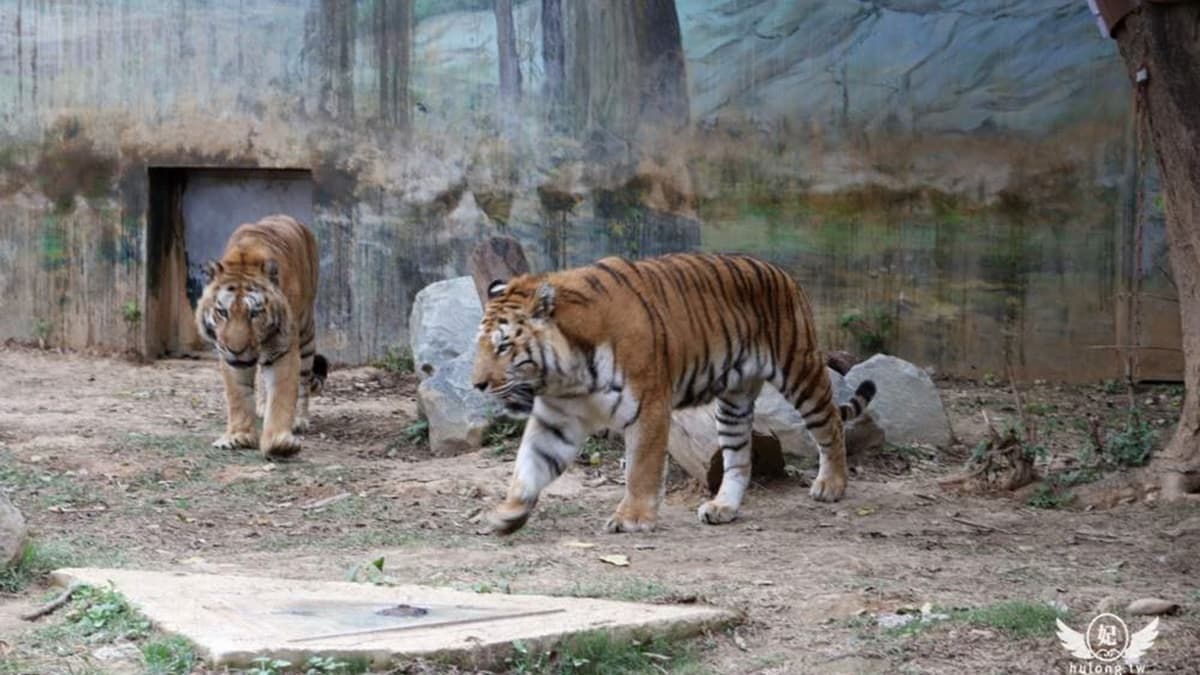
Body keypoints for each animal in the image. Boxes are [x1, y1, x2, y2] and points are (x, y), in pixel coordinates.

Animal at [194, 214, 326, 459]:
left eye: (254, 313)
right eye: (222, 312)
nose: (236, 350)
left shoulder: (284, 349)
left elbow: (282, 396)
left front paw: (279, 442)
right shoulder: (228, 358)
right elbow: (238, 396)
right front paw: (239, 436)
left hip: (306, 333)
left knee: (303, 380)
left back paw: (300, 420)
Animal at [471, 252, 877, 535]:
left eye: (504, 346)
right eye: (482, 345)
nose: (477, 385)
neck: (566, 373)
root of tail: (784, 272)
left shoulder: (648, 405)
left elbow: (641, 468)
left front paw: (632, 518)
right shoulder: (557, 418)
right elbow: (529, 465)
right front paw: (507, 514)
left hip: (799, 371)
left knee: (830, 425)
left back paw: (831, 485)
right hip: (732, 405)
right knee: (739, 459)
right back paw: (723, 508)